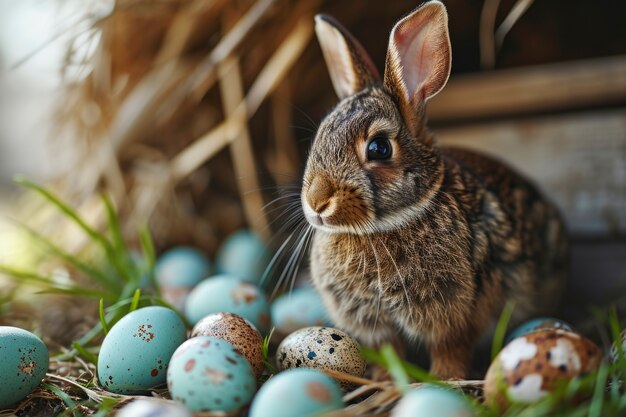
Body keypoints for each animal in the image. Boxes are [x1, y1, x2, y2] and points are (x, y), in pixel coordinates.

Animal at [300, 0, 568, 378]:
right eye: (321, 135)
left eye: (379, 148)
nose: (317, 202)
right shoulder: (375, 326)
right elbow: (389, 351)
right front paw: (386, 380)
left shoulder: (454, 313)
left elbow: (449, 349)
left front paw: (445, 380)